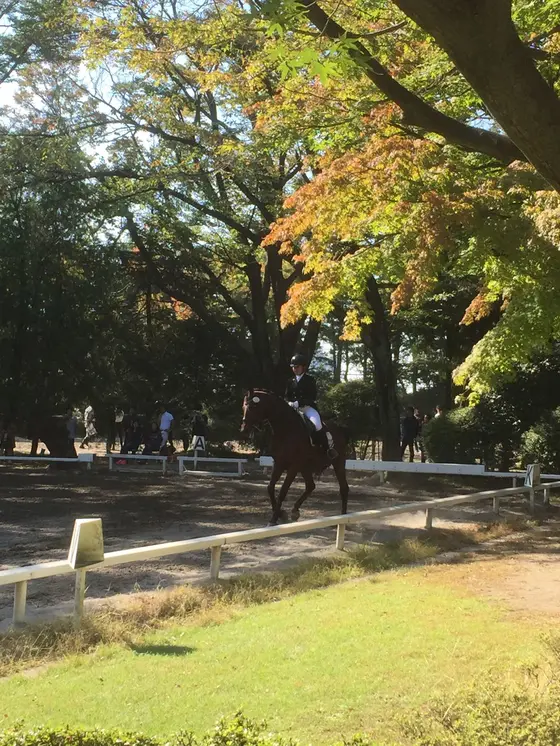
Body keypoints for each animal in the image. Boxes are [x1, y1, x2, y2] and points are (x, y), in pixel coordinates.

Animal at [241, 390, 350, 524]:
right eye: (243, 407)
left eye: (252, 407)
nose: (244, 430)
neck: (286, 429)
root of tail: (340, 429)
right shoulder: (279, 463)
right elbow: (270, 487)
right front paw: (281, 514)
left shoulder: (294, 466)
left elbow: (283, 491)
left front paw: (273, 519)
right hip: (305, 467)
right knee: (310, 486)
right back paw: (295, 511)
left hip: (338, 462)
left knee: (343, 488)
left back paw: (343, 518)